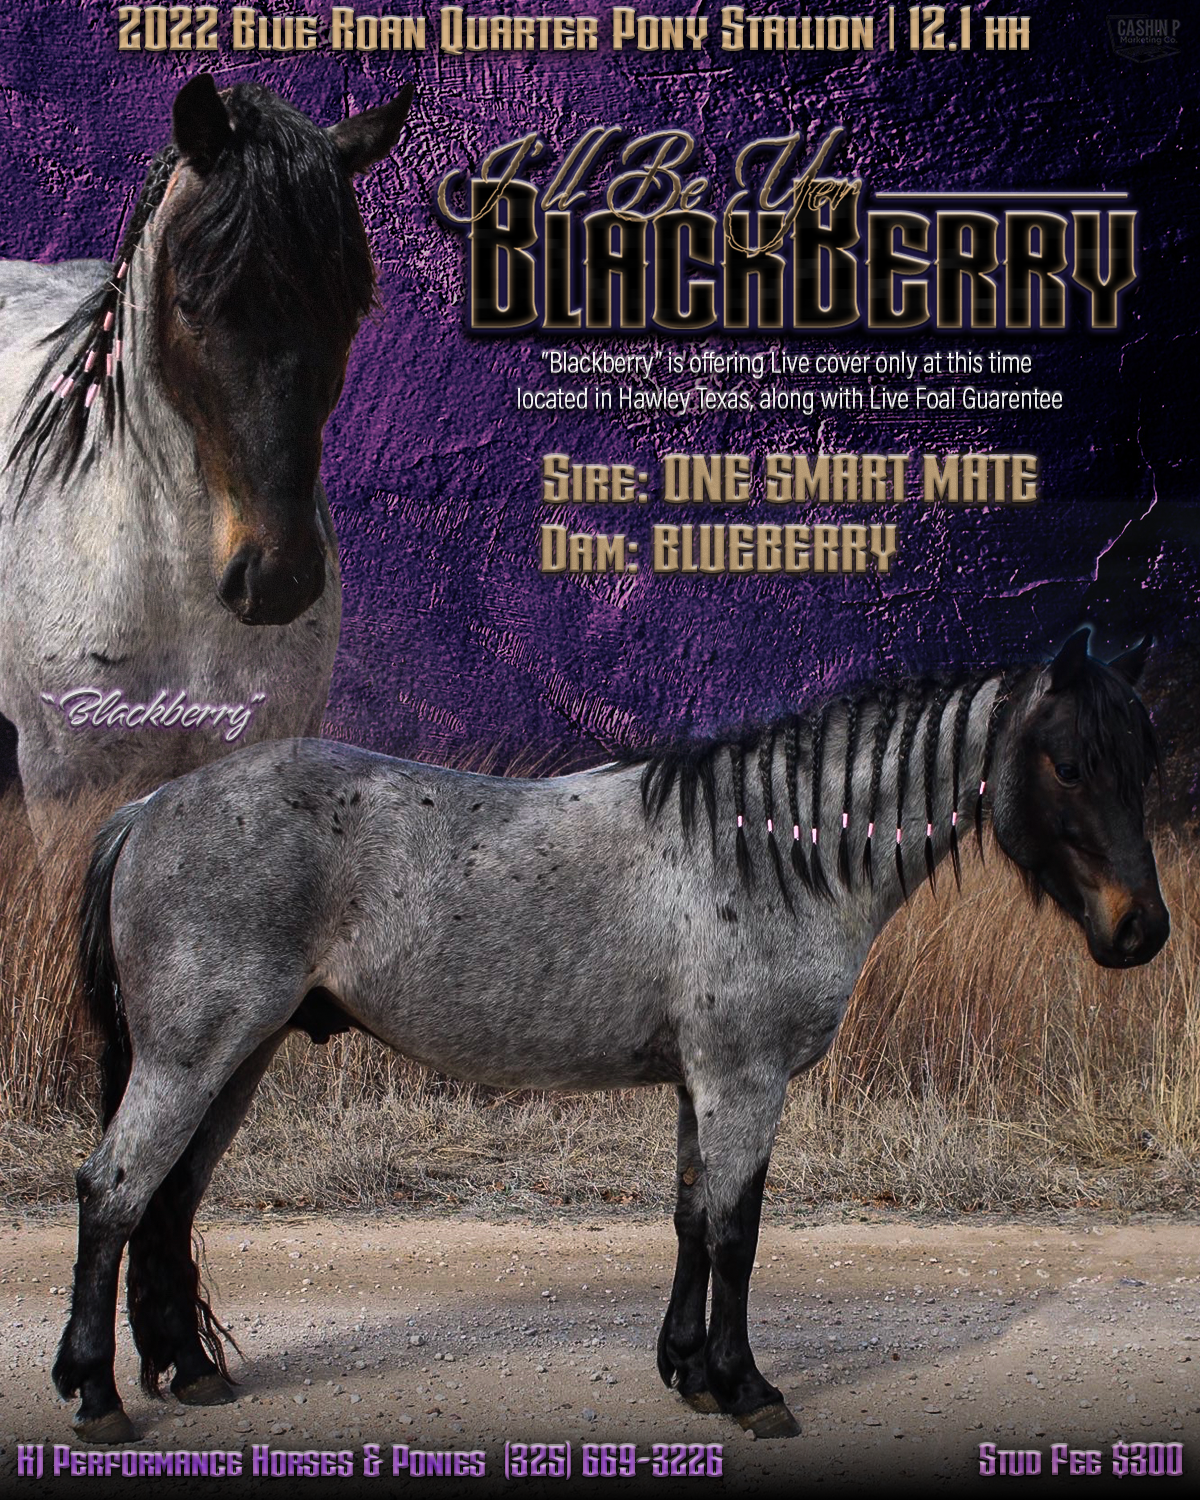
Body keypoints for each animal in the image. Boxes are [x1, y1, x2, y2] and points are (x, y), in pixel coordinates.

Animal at [54, 628, 1168, 1443]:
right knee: (113, 1193)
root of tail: (148, 807)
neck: (770, 854)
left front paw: (689, 1372)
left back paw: (191, 1372)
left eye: (1144, 764)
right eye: (1069, 764)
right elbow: (736, 1234)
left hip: (235, 1056)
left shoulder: (700, 1084)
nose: (1142, 931)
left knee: (167, 1202)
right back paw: (97, 1395)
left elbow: (689, 1219)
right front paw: (749, 1389)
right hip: (191, 1056)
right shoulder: (744, 1082)